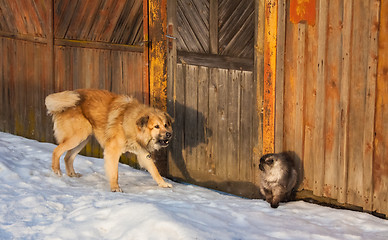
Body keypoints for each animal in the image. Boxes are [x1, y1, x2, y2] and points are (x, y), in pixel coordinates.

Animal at [45, 88, 173, 191]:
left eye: (166, 125)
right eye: (156, 126)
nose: (169, 134)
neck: (129, 122)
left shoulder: (143, 153)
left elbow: (154, 170)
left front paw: (163, 184)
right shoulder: (112, 150)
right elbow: (114, 173)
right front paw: (115, 188)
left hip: (82, 140)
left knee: (68, 157)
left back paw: (72, 175)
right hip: (77, 136)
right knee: (56, 151)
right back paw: (57, 172)